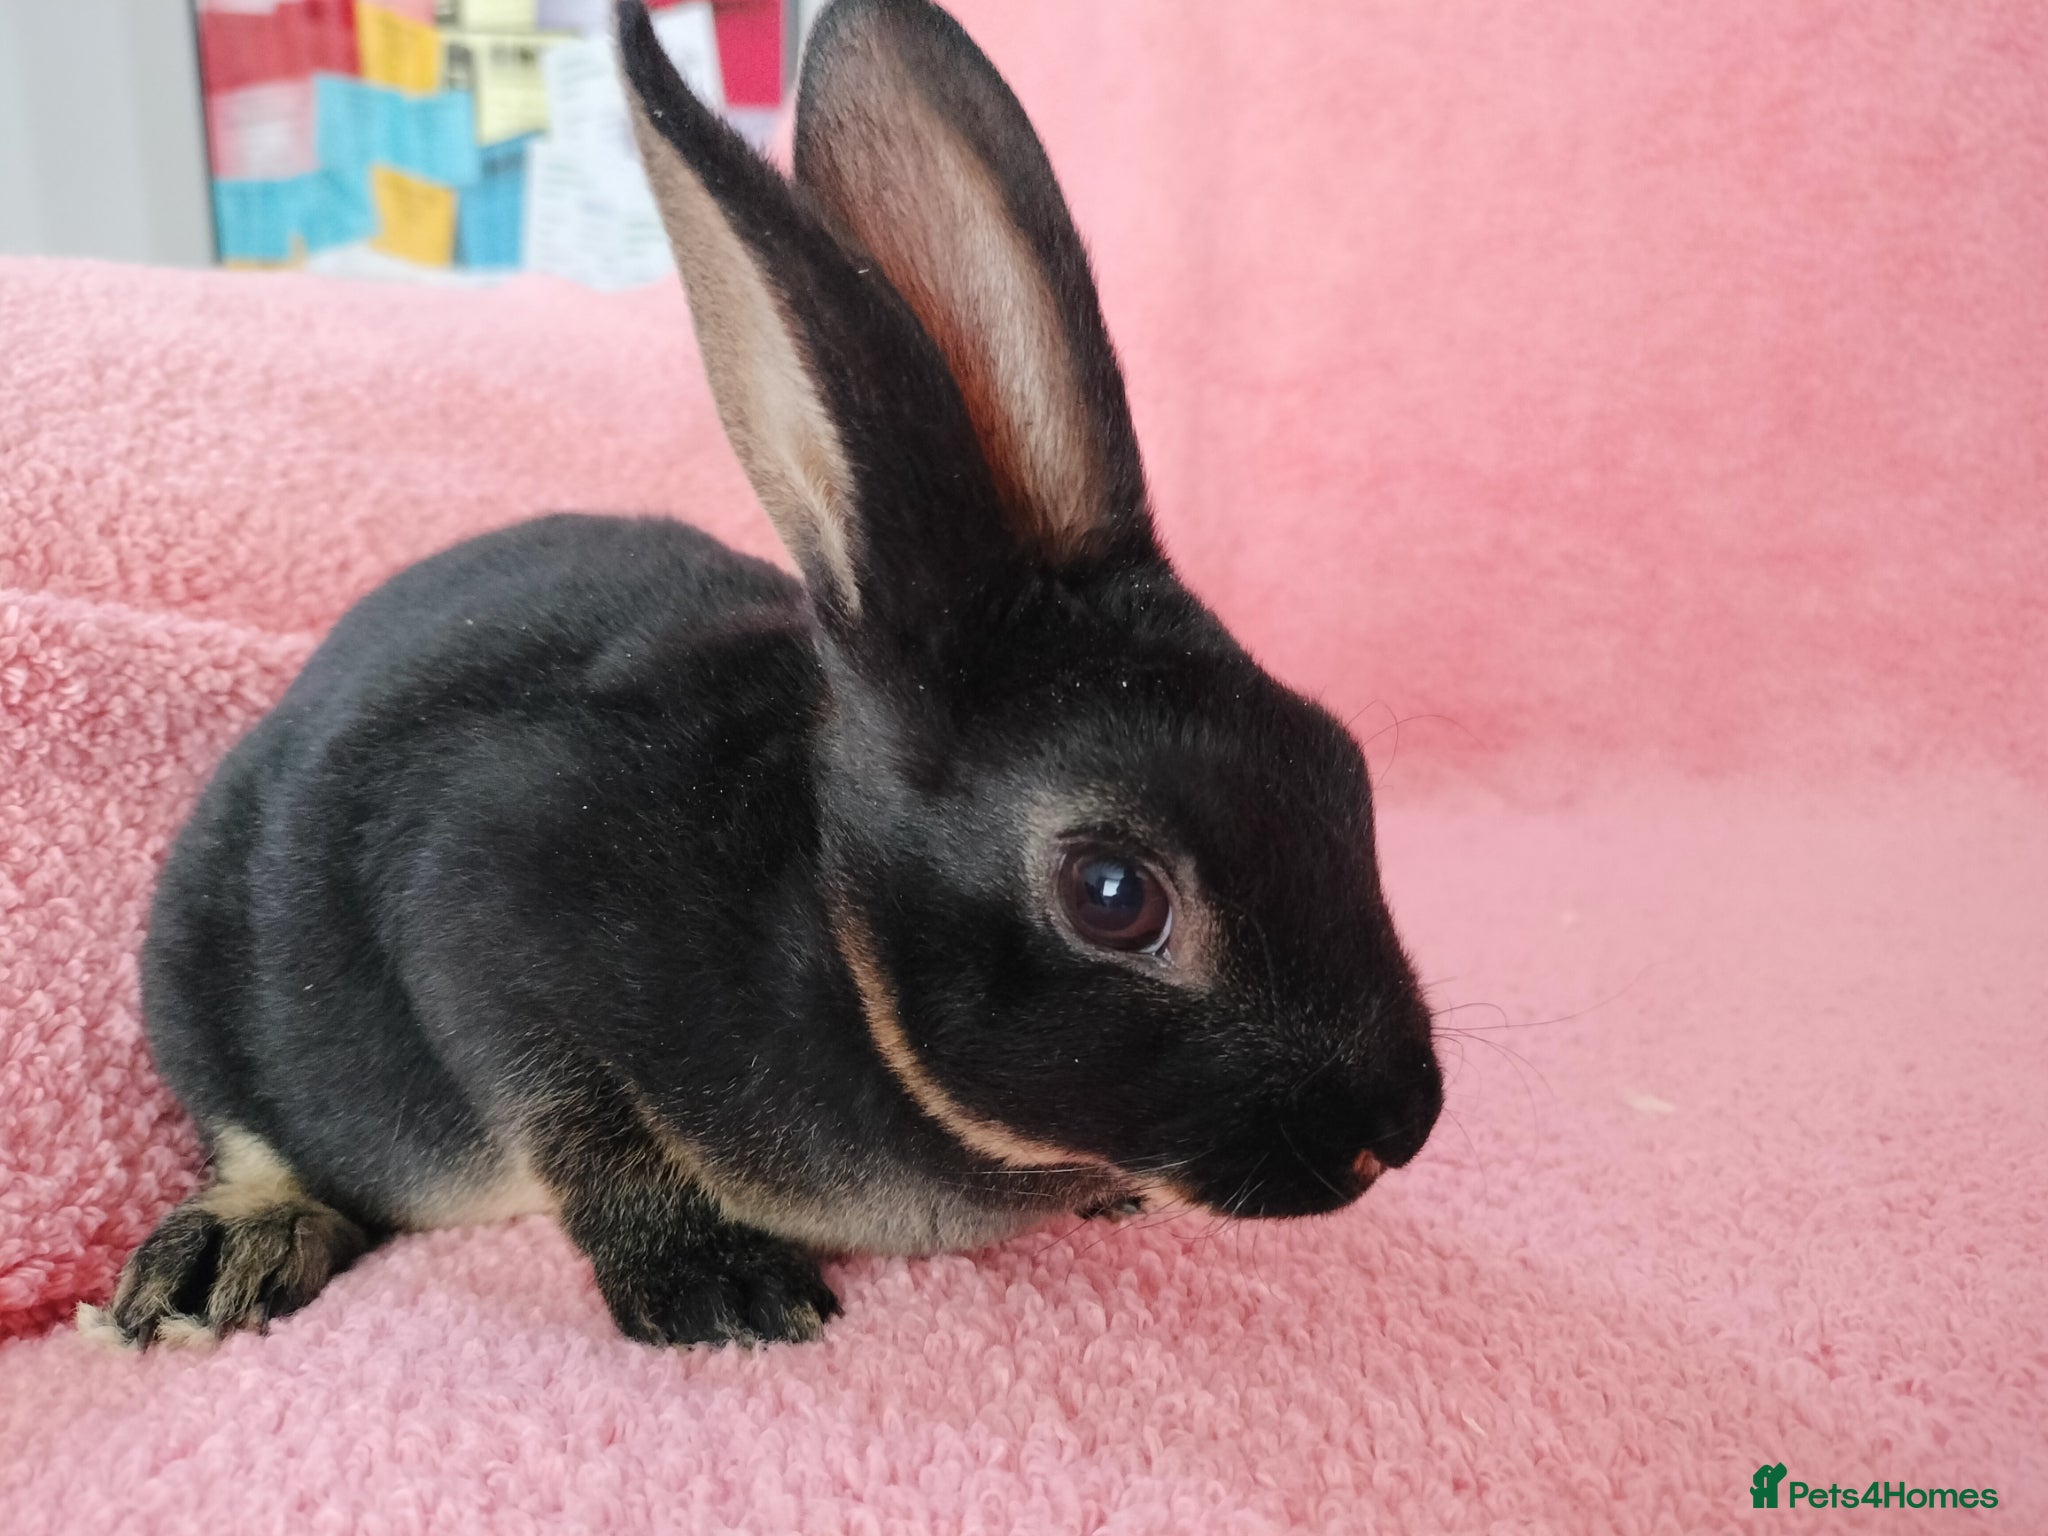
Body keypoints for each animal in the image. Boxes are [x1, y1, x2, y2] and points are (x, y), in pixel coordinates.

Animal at [91, 0, 1443, 1351]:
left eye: (1340, 764)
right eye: (1112, 894)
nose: (1396, 1128)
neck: (828, 913)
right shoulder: (483, 911)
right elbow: (579, 1122)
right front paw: (716, 1288)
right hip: (201, 968)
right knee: (250, 1127)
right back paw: (225, 1259)